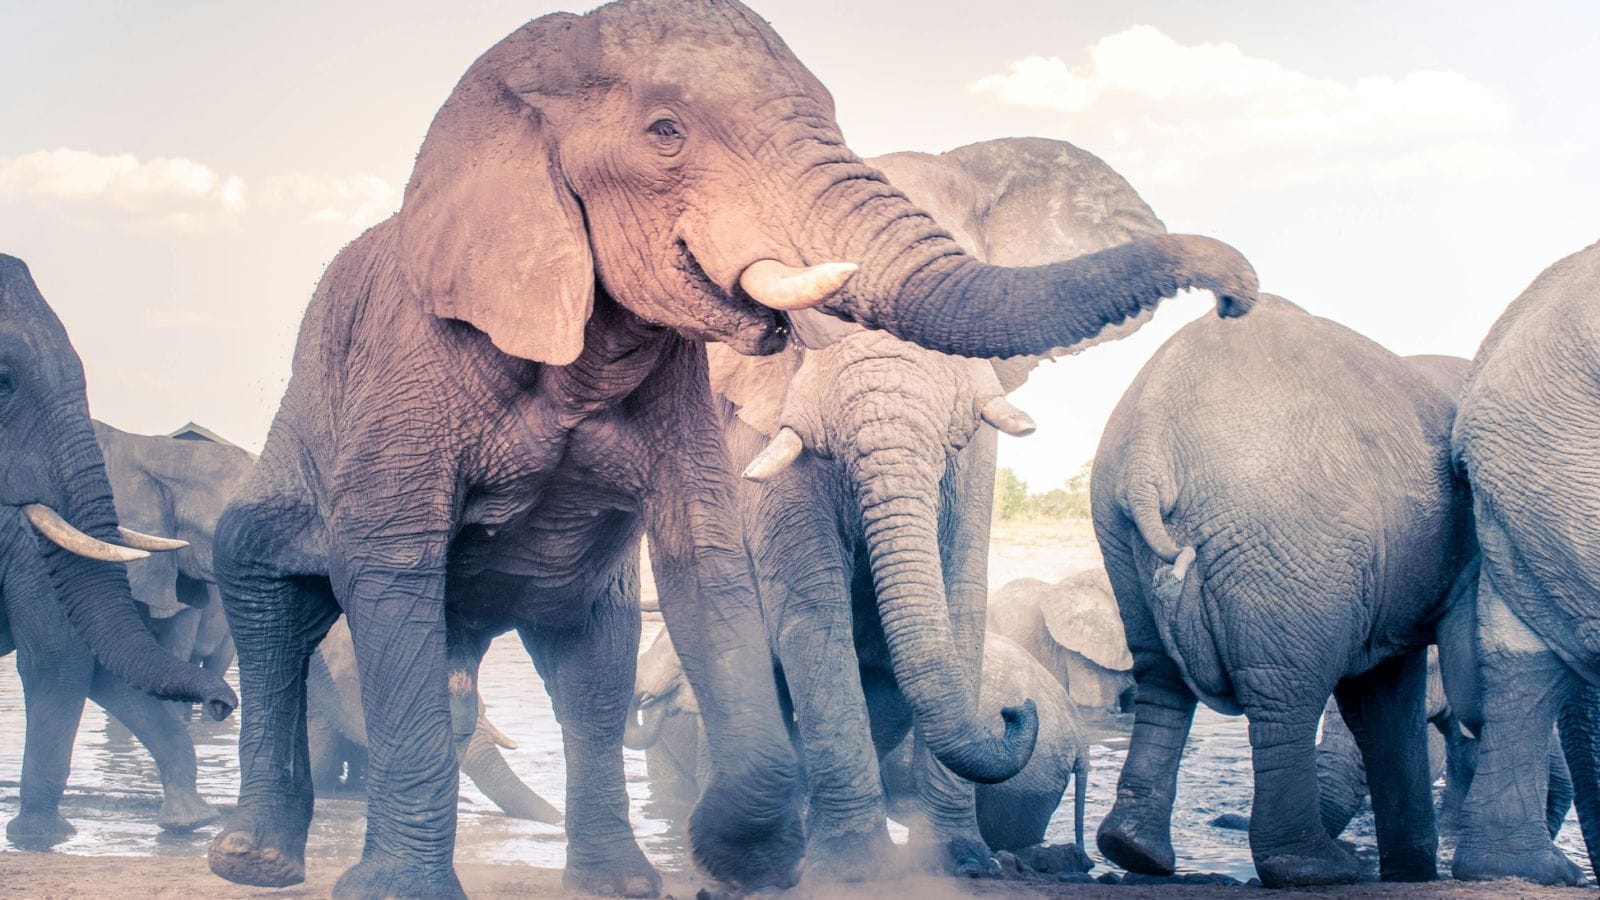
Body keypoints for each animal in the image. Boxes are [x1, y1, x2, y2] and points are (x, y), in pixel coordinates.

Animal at [0, 255, 237, 846]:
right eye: (3, 380)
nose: (222, 704)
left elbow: (98, 663)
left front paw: (190, 821)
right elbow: (64, 655)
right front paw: (42, 839)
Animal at [1091, 297, 1475, 886]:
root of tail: (1149, 451)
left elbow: (1386, 695)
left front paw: (1412, 873)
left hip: (1118, 528)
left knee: (1159, 674)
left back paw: (1134, 850)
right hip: (1289, 535)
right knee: (1287, 690)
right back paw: (1315, 868)